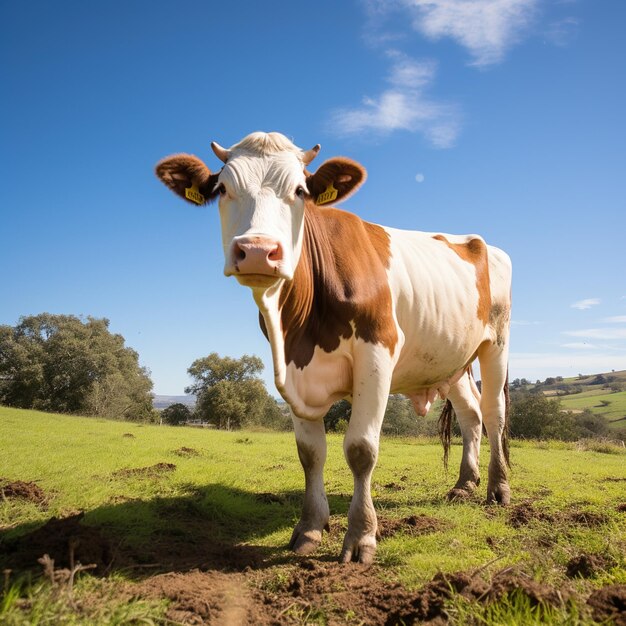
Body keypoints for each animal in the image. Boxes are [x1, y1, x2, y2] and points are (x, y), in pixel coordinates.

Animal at [154, 130, 510, 560]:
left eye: (300, 190)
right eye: (222, 188)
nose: (257, 250)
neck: (300, 326)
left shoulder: (377, 352)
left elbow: (361, 449)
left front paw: (361, 536)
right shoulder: (294, 368)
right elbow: (310, 454)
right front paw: (309, 528)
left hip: (497, 342)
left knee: (493, 411)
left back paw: (497, 489)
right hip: (449, 358)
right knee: (471, 414)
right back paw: (463, 485)